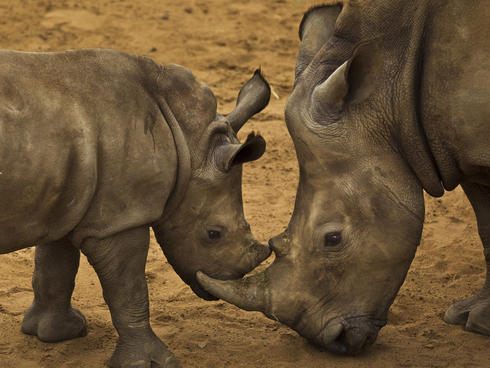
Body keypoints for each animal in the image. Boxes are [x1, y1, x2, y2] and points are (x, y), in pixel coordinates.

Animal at [0, 49, 272, 368]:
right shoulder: (119, 220)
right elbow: (129, 290)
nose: (234, 274)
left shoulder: (69, 199)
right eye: (213, 234)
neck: (188, 141)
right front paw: (153, 362)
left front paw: (57, 334)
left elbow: (55, 266)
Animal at [198, 0, 490, 356]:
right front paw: (469, 319)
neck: (393, 97)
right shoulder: (458, 144)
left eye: (333, 238)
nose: (330, 341)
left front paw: (481, 325)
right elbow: (486, 225)